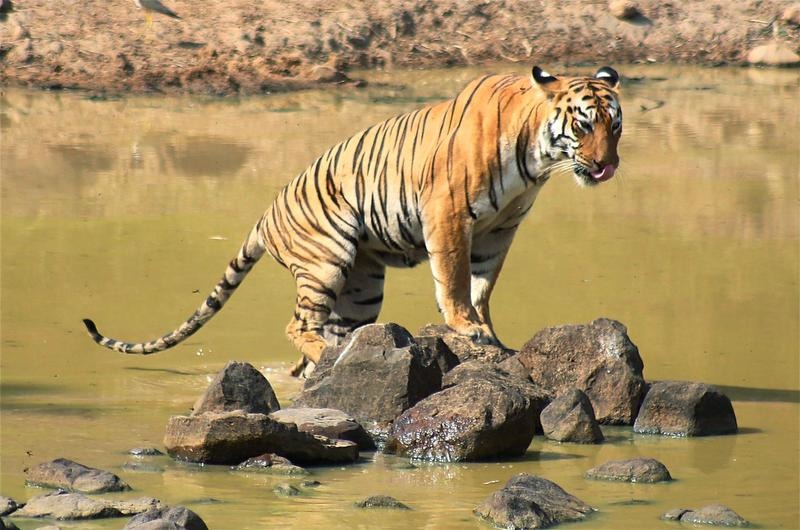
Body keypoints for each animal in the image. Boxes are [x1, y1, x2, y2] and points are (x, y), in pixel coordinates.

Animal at [86, 64, 624, 374]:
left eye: (615, 127)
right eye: (583, 125)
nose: (607, 166)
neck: (538, 158)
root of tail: (264, 216)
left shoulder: (501, 228)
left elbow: (482, 285)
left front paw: (489, 334)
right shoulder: (449, 213)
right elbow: (452, 278)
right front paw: (465, 327)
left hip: (362, 288)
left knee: (323, 341)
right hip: (326, 259)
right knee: (297, 325)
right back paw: (328, 358)